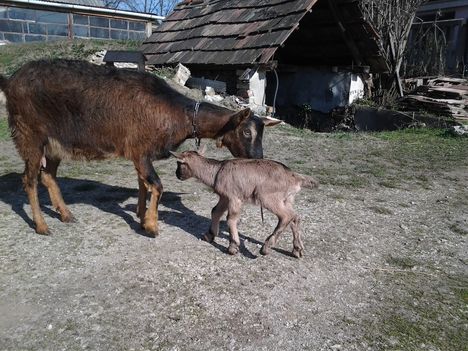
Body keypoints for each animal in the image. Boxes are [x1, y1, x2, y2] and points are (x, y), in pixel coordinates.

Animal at [0, 59, 278, 236]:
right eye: (246, 132)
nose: (258, 159)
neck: (177, 113)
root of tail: (10, 80)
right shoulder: (140, 150)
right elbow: (157, 185)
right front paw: (152, 227)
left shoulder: (139, 154)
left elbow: (143, 184)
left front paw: (141, 215)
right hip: (29, 135)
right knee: (29, 179)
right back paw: (42, 226)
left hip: (55, 143)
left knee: (48, 176)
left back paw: (66, 214)